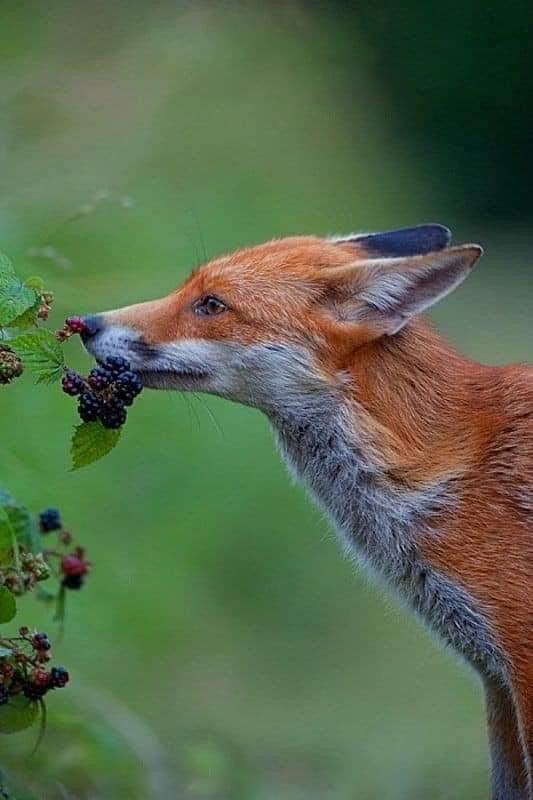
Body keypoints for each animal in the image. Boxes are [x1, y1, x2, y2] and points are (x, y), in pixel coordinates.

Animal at [81, 225, 532, 800]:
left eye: (212, 304)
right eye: (190, 289)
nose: (86, 324)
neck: (456, 468)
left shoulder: (520, 664)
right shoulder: (495, 678)